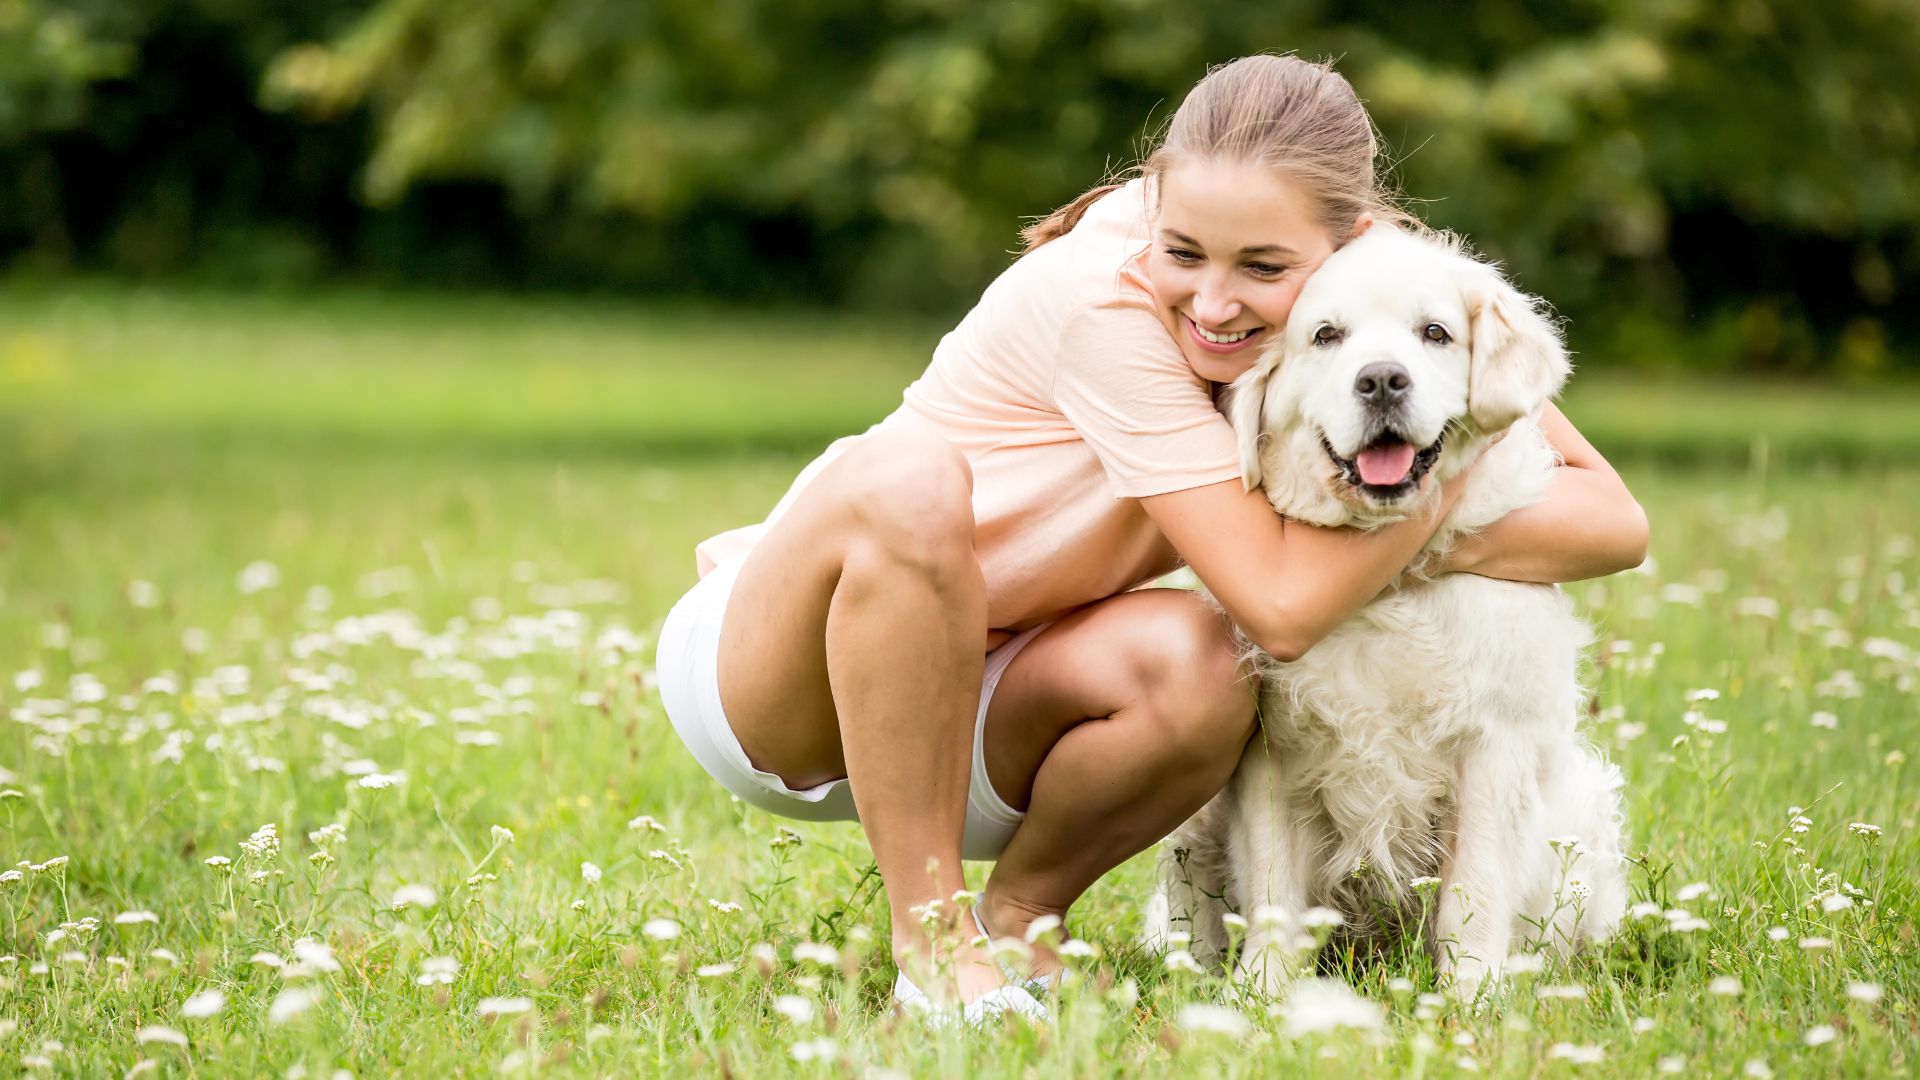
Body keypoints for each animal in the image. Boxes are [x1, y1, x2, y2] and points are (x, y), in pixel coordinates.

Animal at [1144, 224, 1628, 991]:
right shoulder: (1270, 757)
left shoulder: (1492, 747)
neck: (1376, 580)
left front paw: (1471, 995)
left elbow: (1474, 888)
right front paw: (1262, 993)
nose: (1380, 380)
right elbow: (1274, 887)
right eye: (1326, 336)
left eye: (1435, 333)